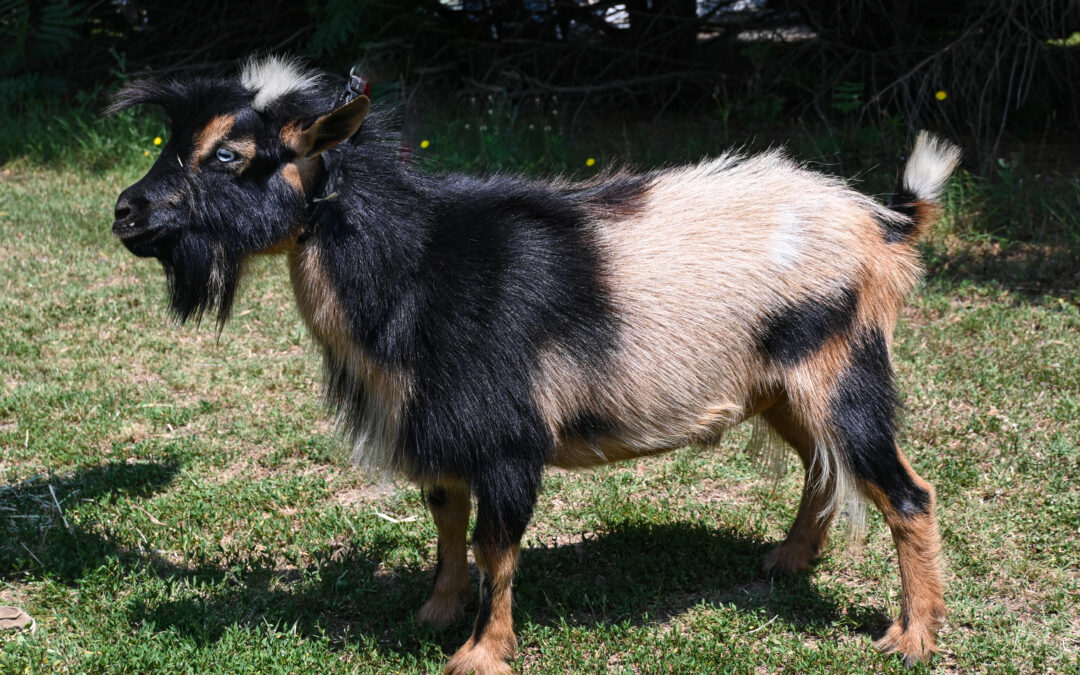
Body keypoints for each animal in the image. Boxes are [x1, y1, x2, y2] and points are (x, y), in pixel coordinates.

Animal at [105, 55, 959, 669]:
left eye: (231, 153)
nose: (125, 211)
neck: (416, 264)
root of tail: (882, 224)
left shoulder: (507, 433)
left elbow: (496, 543)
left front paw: (482, 652)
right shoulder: (444, 424)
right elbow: (447, 519)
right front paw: (436, 611)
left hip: (839, 366)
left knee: (904, 491)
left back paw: (912, 638)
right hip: (783, 384)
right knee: (824, 467)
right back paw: (786, 561)